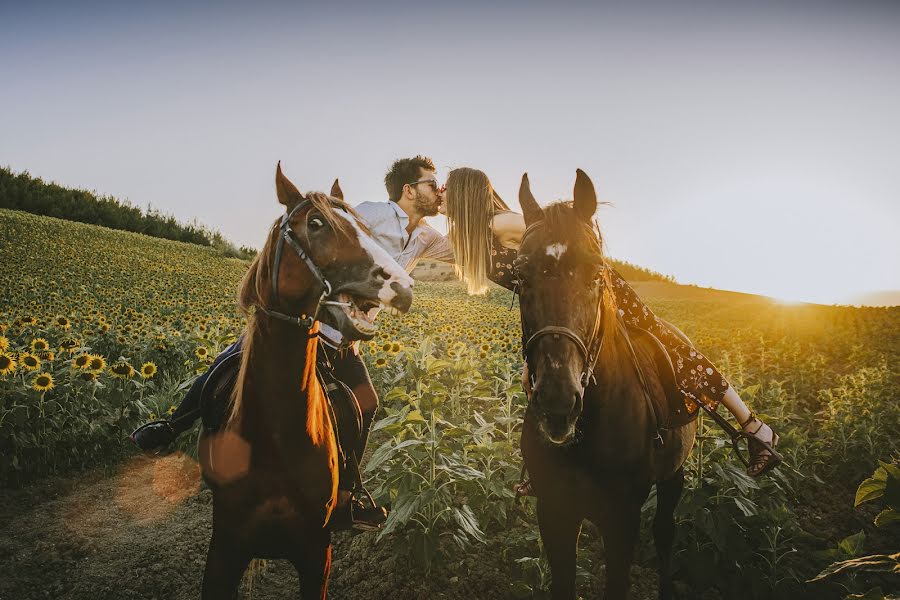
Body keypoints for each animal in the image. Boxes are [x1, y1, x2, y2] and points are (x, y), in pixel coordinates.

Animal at [197, 162, 414, 596]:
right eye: (316, 223)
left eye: (365, 227)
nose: (402, 285)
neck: (274, 440)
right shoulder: (224, 552)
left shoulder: (317, 553)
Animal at [512, 170, 696, 600]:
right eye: (521, 275)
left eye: (596, 274)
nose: (558, 402)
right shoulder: (554, 510)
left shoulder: (622, 521)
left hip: (674, 476)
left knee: (665, 533)